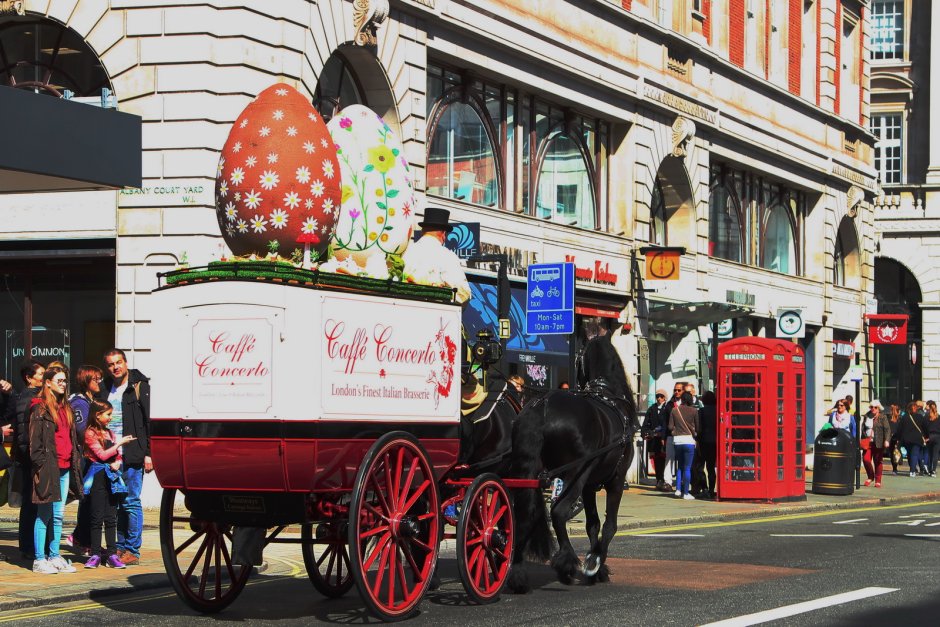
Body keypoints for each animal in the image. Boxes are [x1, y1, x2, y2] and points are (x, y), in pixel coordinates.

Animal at [506, 334, 640, 592]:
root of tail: (542, 407)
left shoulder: (589, 485)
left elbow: (592, 524)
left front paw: (597, 567)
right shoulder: (616, 481)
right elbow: (609, 525)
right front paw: (595, 563)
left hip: (533, 473)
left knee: (525, 517)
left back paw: (517, 573)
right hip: (573, 474)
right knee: (558, 512)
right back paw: (566, 563)